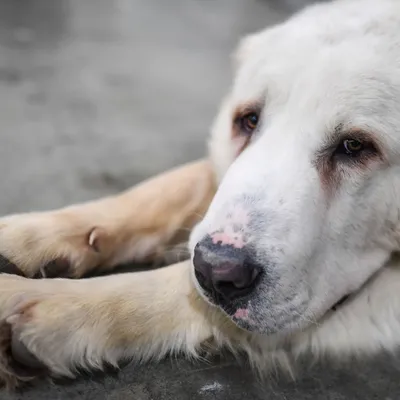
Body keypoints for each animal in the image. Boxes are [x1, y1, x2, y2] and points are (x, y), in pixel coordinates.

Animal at [0, 0, 400, 390]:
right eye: (248, 120)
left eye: (354, 146)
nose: (216, 270)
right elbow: (169, 186)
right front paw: (37, 233)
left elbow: (182, 286)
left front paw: (57, 304)